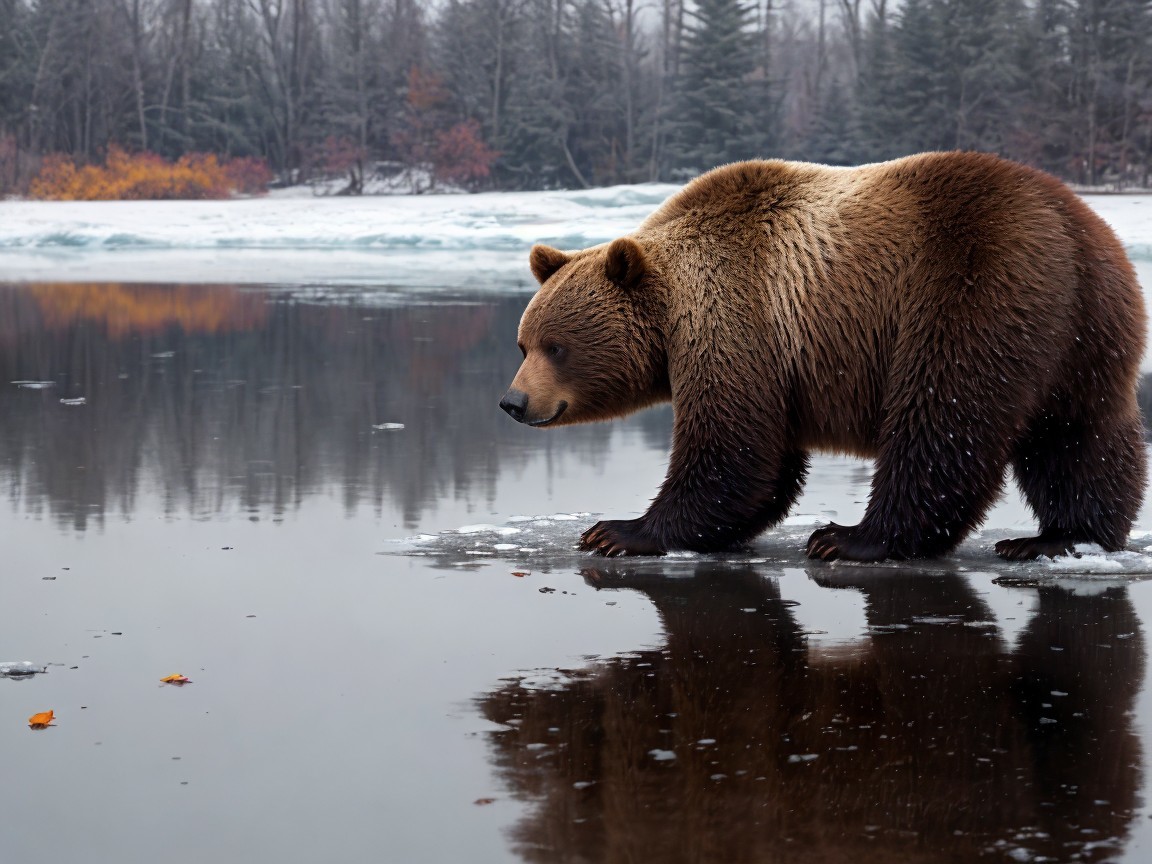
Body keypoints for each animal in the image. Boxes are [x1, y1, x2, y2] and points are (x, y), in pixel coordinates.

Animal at [499, 152, 1148, 561]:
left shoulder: (737, 317)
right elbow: (768, 465)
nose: (513, 401)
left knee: (942, 419)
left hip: (971, 293)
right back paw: (1061, 536)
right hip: (1084, 336)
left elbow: (730, 447)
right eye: (523, 342)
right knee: (1079, 437)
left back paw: (852, 537)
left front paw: (617, 530)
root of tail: (1078, 229)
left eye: (557, 346)